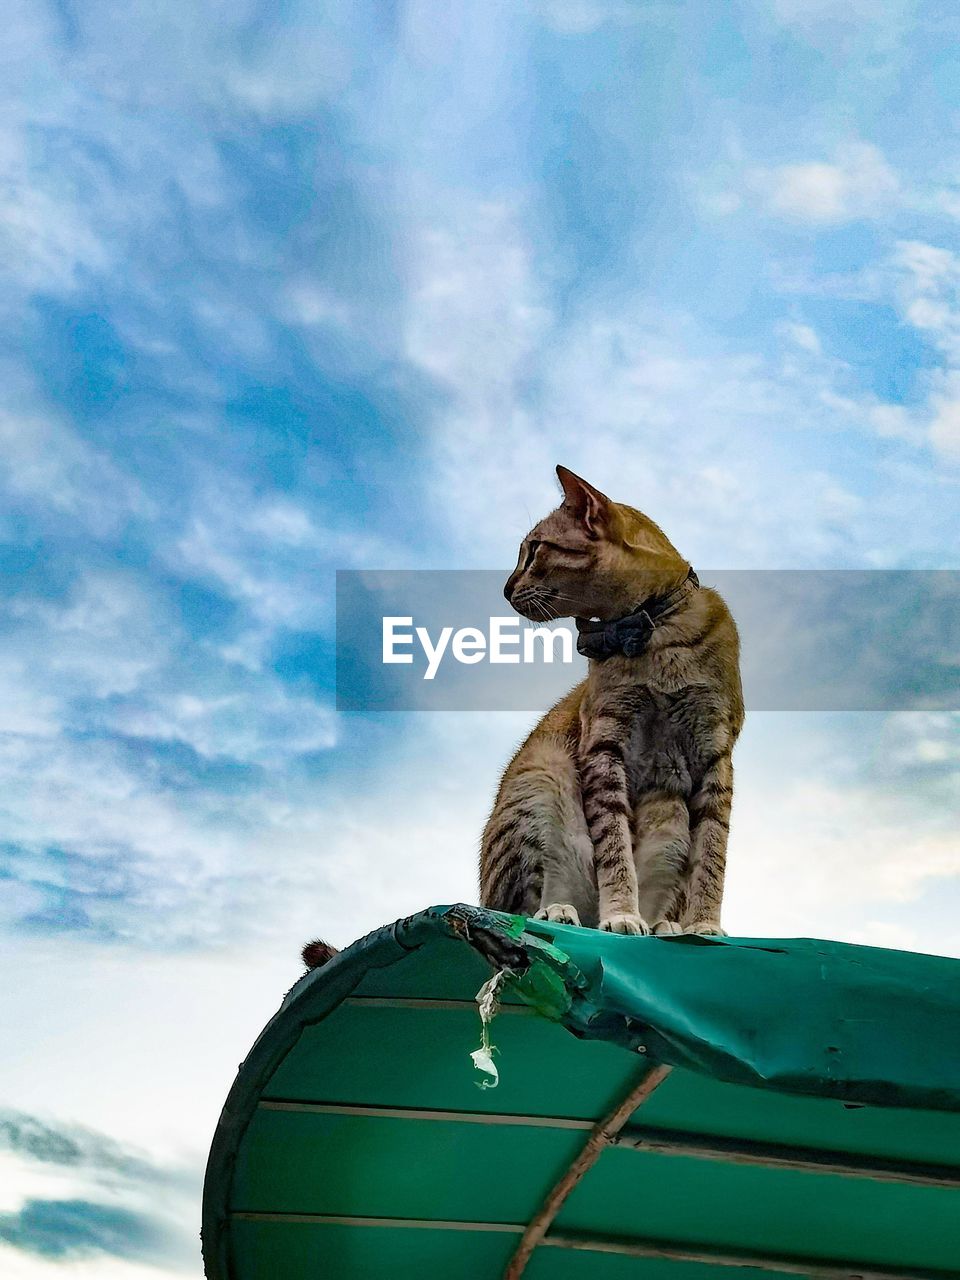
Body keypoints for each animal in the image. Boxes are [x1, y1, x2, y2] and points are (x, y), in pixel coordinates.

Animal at [481, 465, 742, 936]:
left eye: (534, 550)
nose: (506, 588)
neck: (656, 637)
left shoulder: (716, 755)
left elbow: (712, 855)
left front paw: (702, 925)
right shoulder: (604, 747)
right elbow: (615, 849)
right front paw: (621, 913)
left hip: (669, 809)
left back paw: (663, 925)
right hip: (541, 782)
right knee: (525, 907)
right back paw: (560, 911)